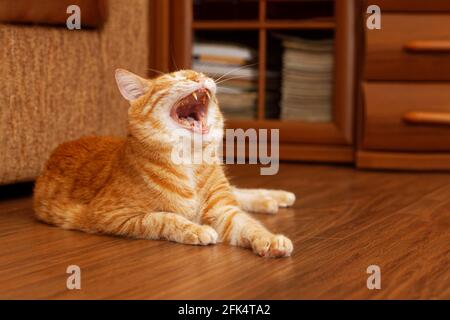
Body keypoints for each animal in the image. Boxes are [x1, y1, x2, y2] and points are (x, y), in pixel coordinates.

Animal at [34, 69, 296, 258]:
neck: (190, 160)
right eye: (174, 78)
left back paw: (275, 197)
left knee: (238, 193)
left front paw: (270, 240)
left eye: (197, 73)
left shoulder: (225, 210)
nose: (200, 77)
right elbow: (163, 218)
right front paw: (197, 229)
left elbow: (250, 225)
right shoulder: (111, 215)